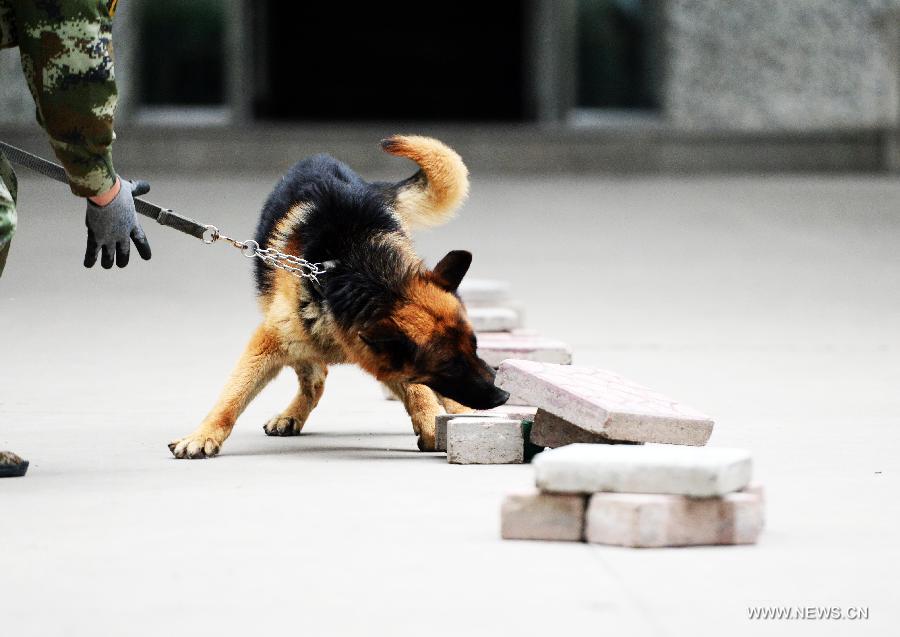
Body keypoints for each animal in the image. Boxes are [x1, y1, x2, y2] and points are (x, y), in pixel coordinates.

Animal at [167, 138, 506, 458]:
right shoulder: (269, 341)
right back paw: (293, 414)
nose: (504, 395)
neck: (360, 272)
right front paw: (202, 436)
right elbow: (232, 395)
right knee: (315, 380)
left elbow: (418, 388)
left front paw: (433, 424)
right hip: (300, 340)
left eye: (475, 347)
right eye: (448, 365)